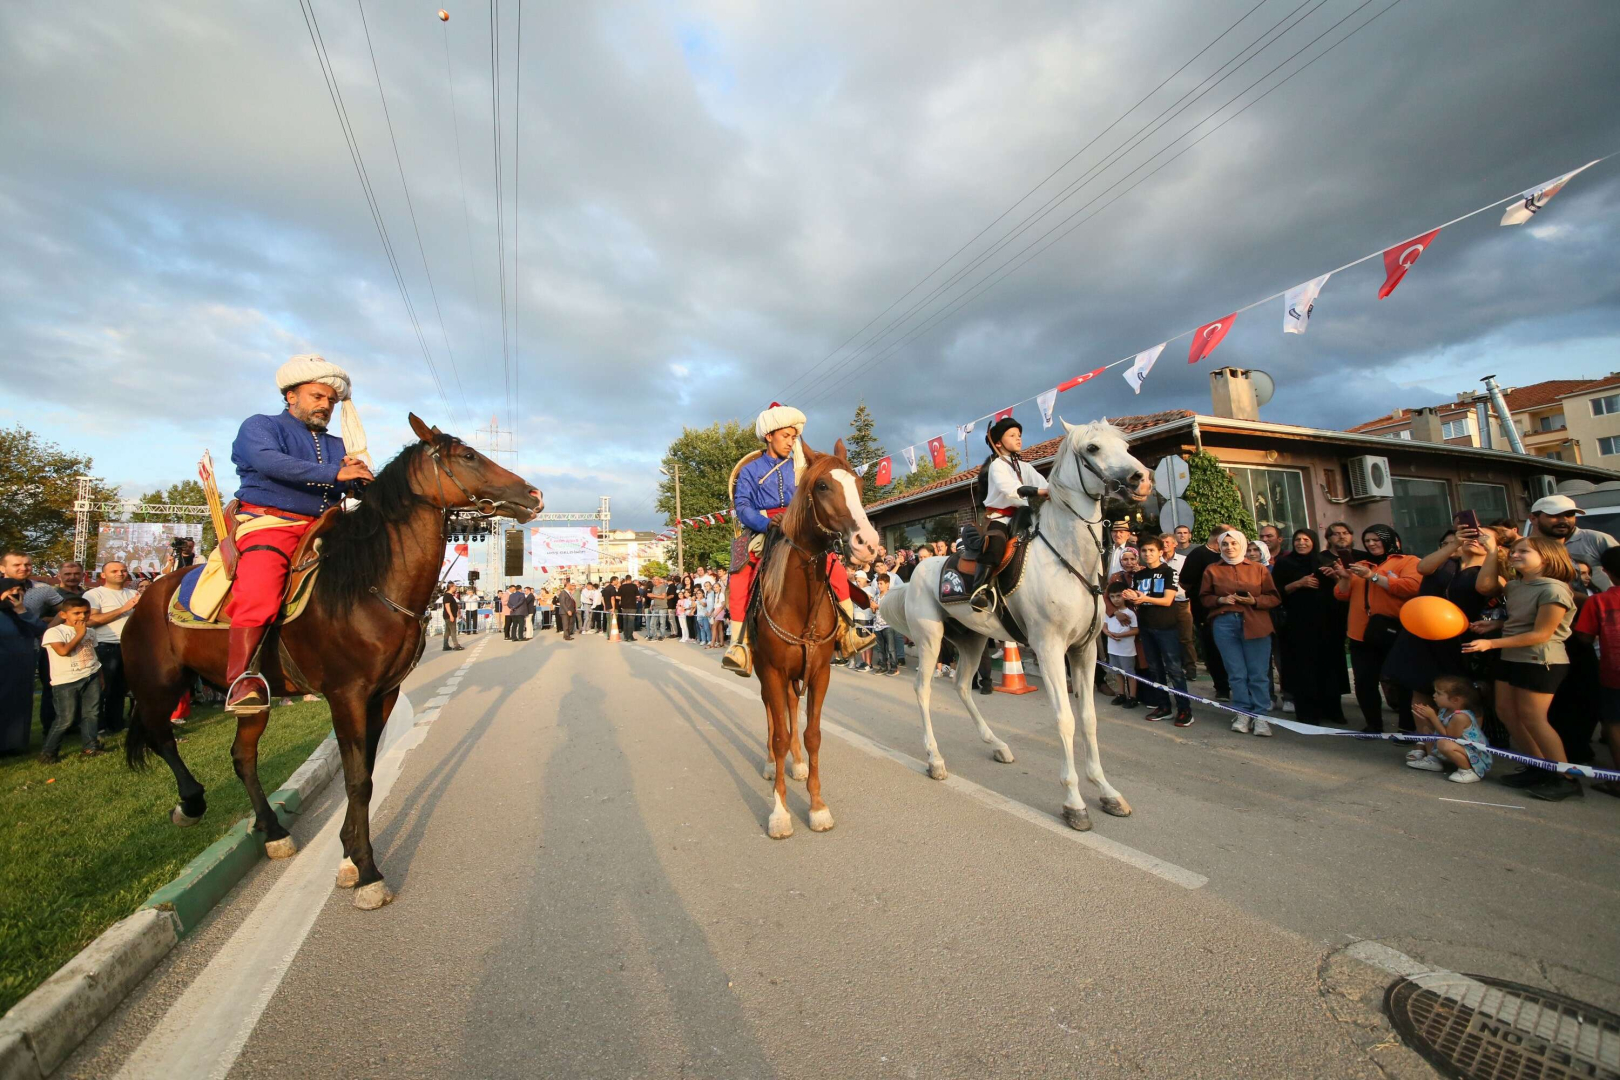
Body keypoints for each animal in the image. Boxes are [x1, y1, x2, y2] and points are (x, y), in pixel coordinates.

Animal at [121, 417, 537, 906]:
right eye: (469, 456)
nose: (532, 495)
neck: (368, 585)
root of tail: (149, 595)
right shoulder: (346, 695)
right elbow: (357, 779)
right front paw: (367, 870)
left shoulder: (384, 694)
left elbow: (366, 773)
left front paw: (348, 856)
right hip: (158, 685)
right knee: (160, 736)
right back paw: (191, 803)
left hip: (251, 699)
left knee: (242, 756)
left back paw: (272, 830)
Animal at [751, 433, 881, 841]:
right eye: (823, 486)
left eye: (859, 484)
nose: (868, 544)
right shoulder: (774, 671)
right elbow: (779, 734)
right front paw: (779, 813)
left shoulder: (820, 672)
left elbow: (812, 735)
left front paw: (817, 806)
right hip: (765, 673)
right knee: (772, 715)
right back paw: (770, 764)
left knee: (791, 710)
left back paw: (797, 763)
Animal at [881, 417, 1159, 835]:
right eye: (1092, 448)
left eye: (1125, 445)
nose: (1140, 479)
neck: (1067, 558)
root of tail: (915, 573)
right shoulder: (1049, 648)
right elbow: (1065, 720)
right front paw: (1074, 802)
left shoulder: (1084, 650)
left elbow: (1089, 719)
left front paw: (1107, 792)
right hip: (930, 639)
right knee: (923, 690)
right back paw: (935, 760)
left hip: (973, 640)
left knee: (962, 686)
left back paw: (997, 745)